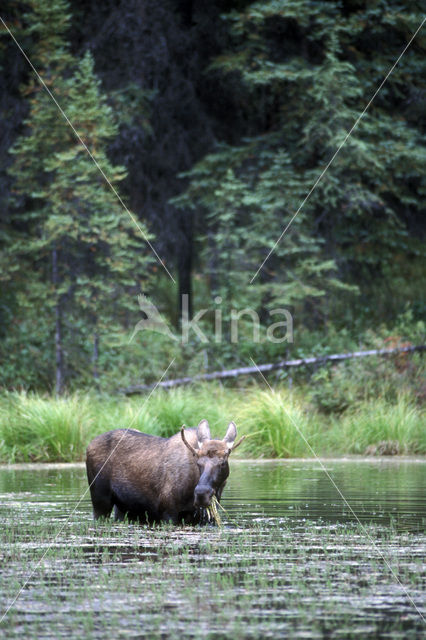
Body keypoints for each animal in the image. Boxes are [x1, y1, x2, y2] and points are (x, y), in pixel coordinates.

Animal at [85, 420, 243, 524]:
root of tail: (88, 445)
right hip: (100, 500)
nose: (201, 494)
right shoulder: (167, 513)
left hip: (123, 507)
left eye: (223, 462)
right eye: (198, 462)